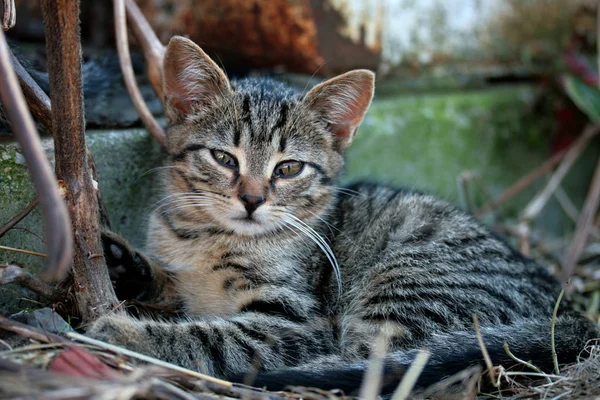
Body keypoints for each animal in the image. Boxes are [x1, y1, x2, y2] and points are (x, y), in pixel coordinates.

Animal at [89, 37, 596, 394]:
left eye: (288, 168)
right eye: (223, 158)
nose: (251, 199)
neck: (207, 237)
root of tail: (570, 309)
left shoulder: (297, 322)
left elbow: (212, 338)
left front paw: (126, 333)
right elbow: (172, 284)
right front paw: (123, 263)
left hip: (406, 287)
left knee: (378, 366)